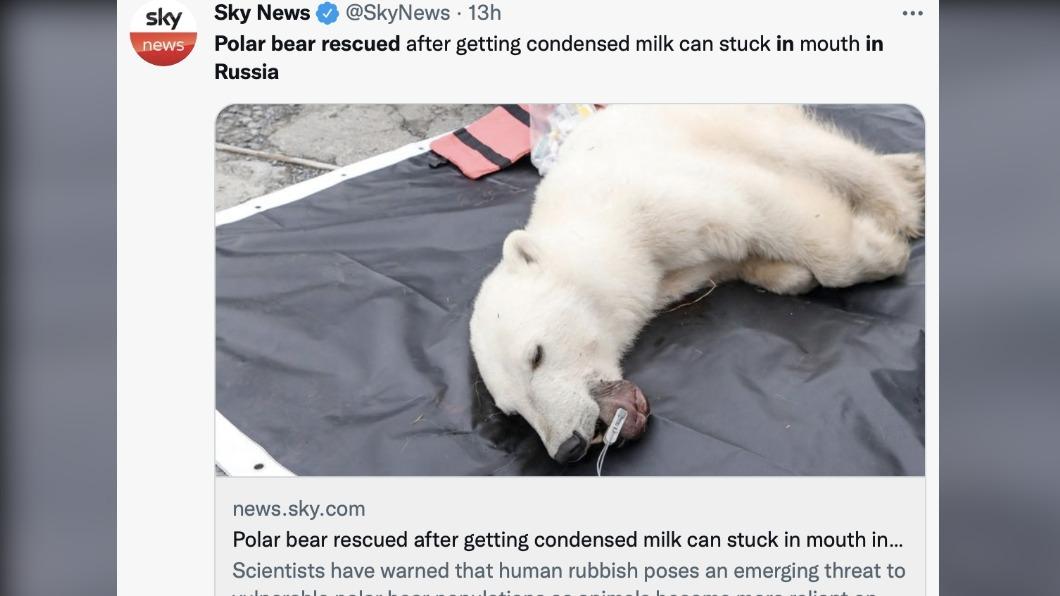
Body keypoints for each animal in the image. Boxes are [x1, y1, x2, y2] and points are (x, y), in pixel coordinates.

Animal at [469, 105, 924, 463]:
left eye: (536, 355)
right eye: (512, 411)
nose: (567, 448)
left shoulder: (655, 198)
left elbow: (759, 204)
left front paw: (884, 251)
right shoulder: (674, 273)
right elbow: (741, 258)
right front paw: (787, 272)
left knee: (808, 150)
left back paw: (897, 202)